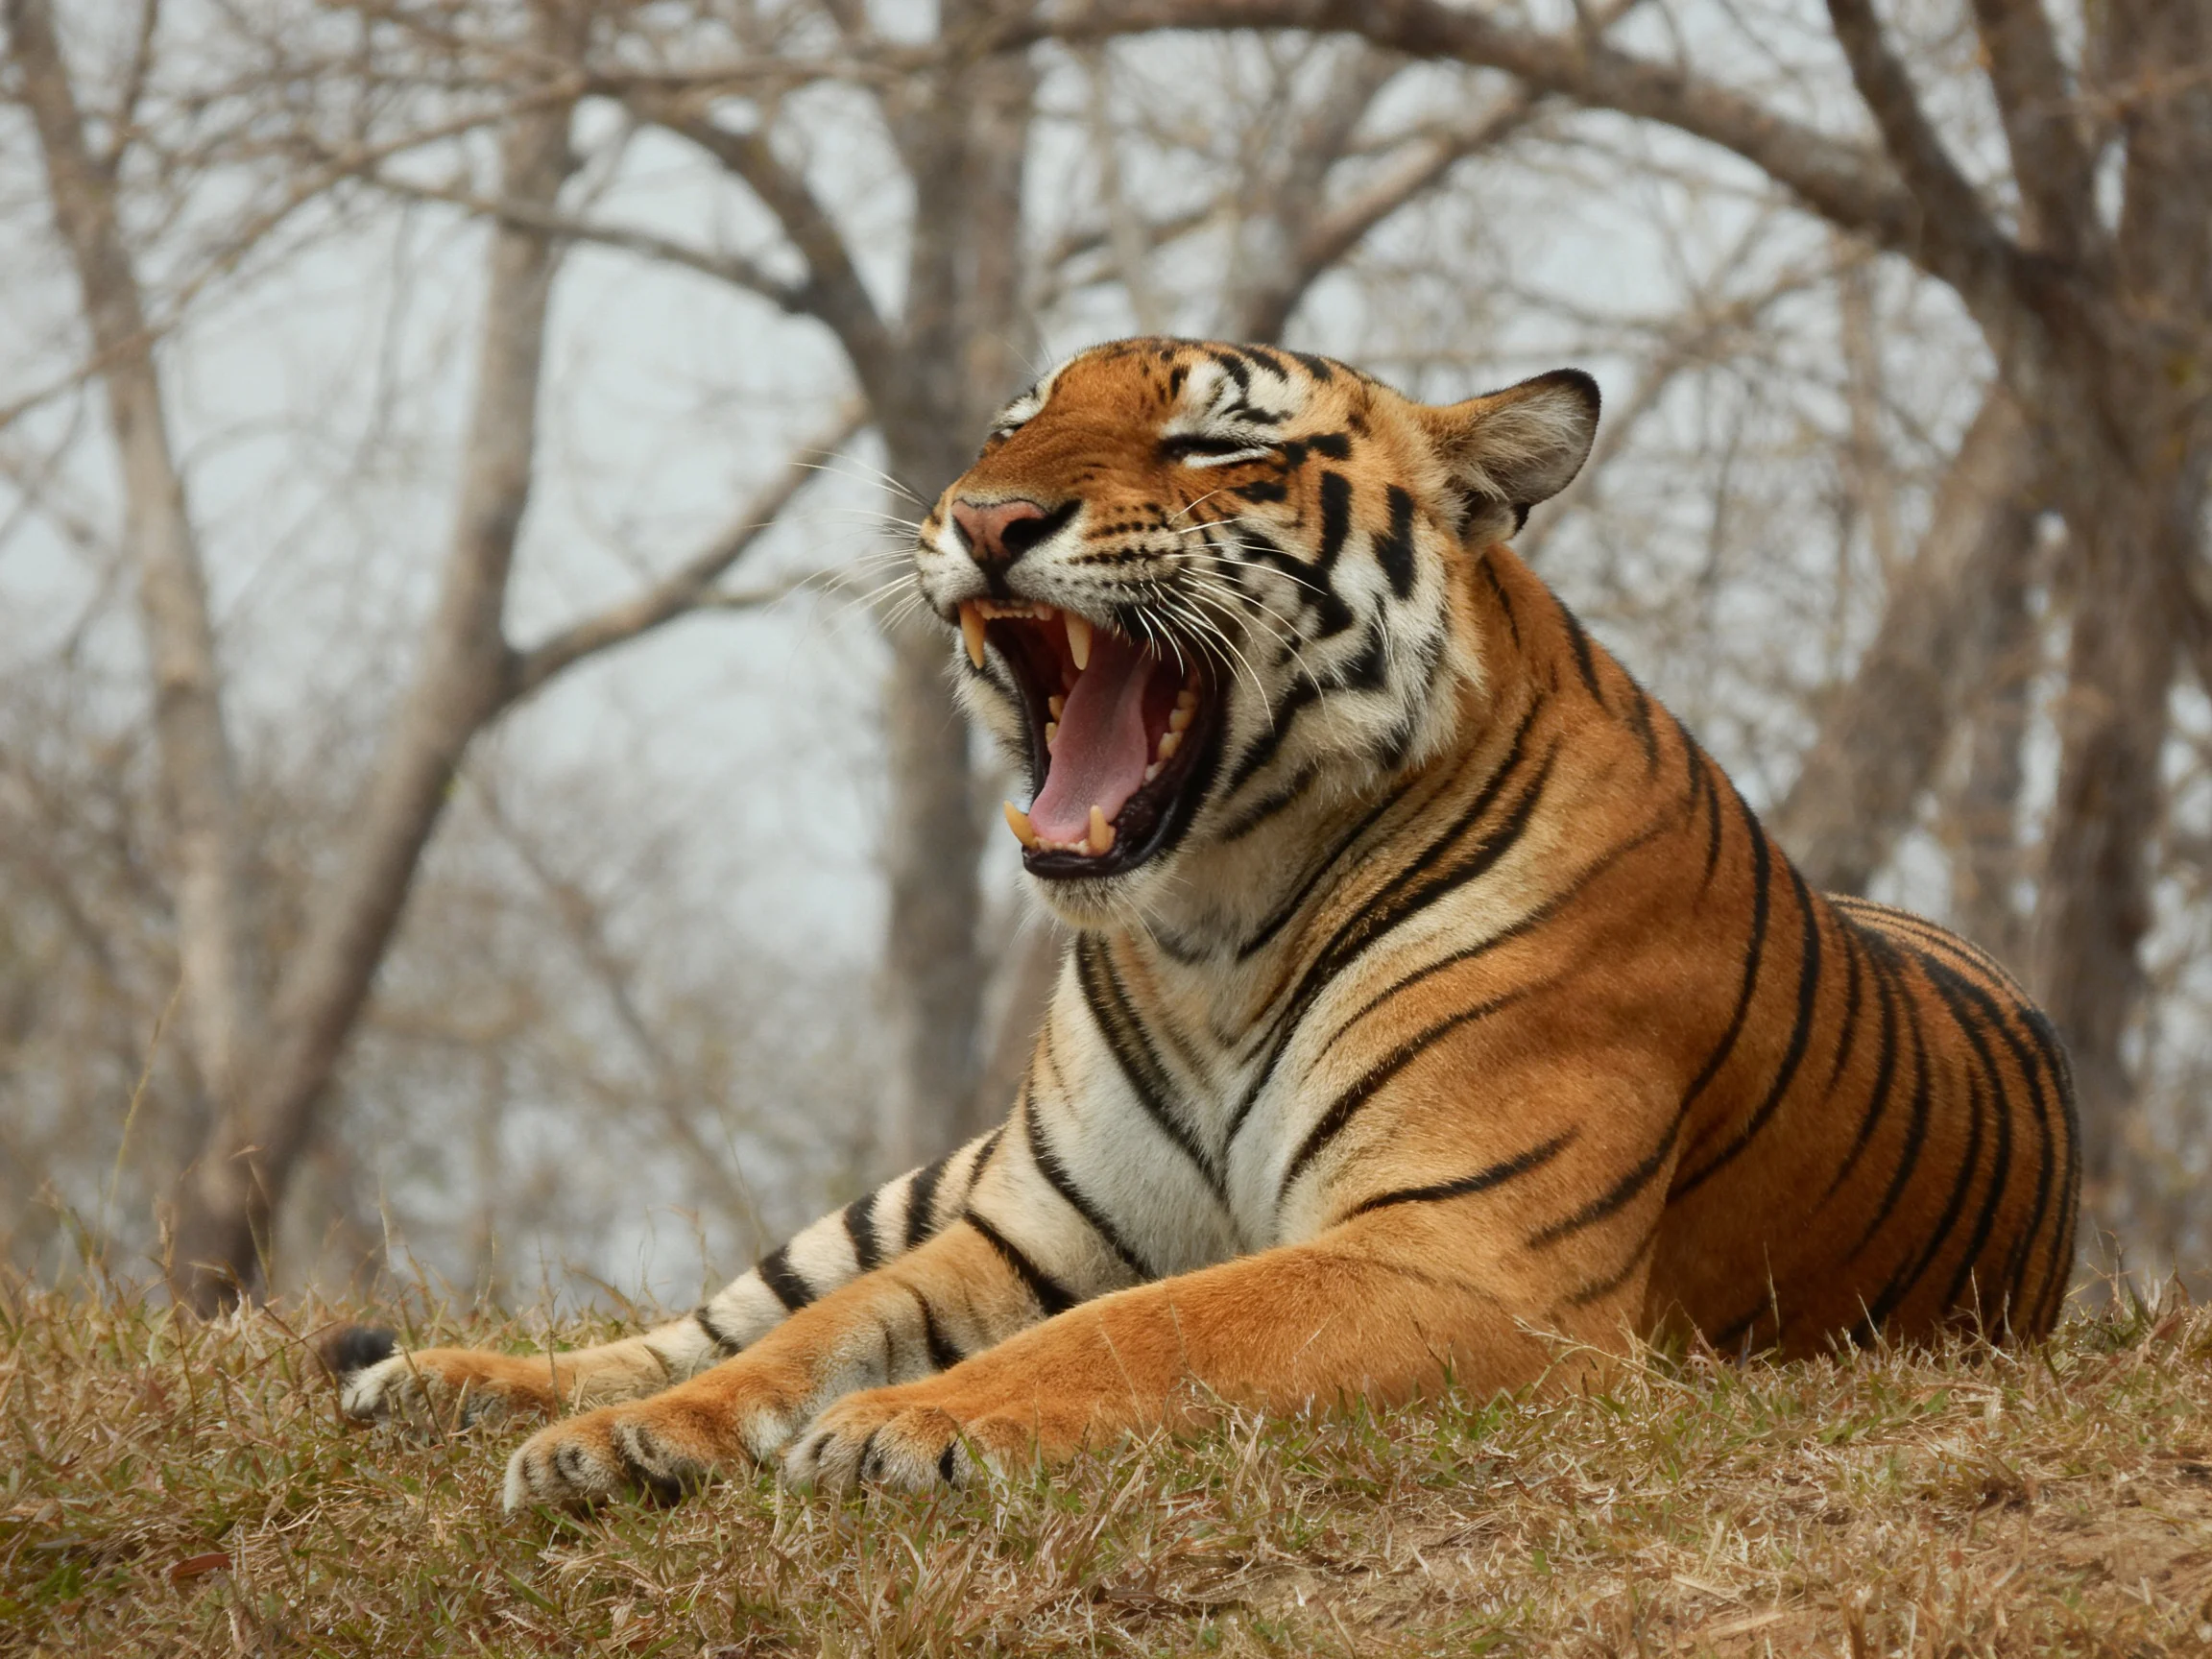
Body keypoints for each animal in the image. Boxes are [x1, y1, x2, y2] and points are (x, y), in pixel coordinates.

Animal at [331, 337, 2080, 1511]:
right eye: (1015, 421)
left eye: (1206, 443)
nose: (983, 515)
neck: (1213, 929)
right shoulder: (1025, 1227)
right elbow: (812, 1332)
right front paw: (624, 1445)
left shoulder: (1457, 1252)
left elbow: (1156, 1326)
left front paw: (909, 1425)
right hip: (928, 1180)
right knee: (703, 1314)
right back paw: (454, 1389)